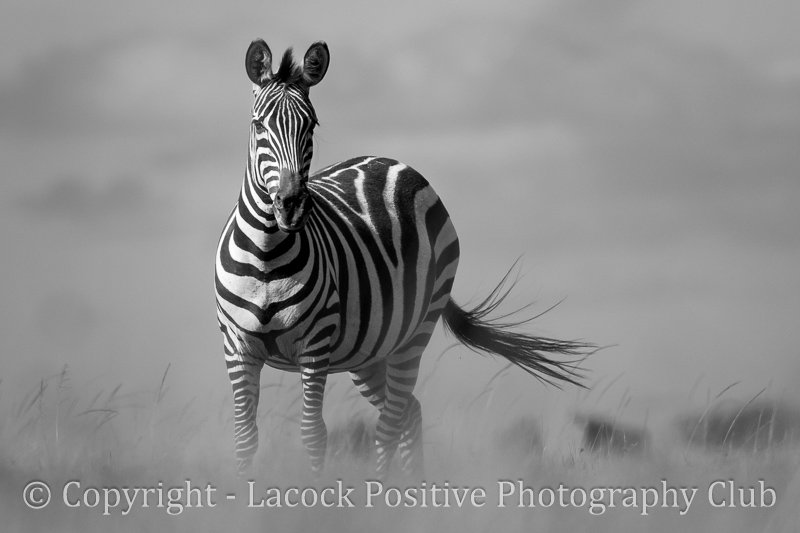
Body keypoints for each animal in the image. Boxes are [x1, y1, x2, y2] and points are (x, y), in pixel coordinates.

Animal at [215, 39, 592, 477]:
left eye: (312, 126)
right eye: (258, 125)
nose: (290, 206)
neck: (267, 256)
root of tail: (392, 162)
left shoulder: (315, 346)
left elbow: (313, 434)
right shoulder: (237, 348)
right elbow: (245, 438)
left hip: (414, 335)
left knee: (391, 422)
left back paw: (387, 490)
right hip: (369, 351)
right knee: (409, 411)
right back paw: (410, 490)